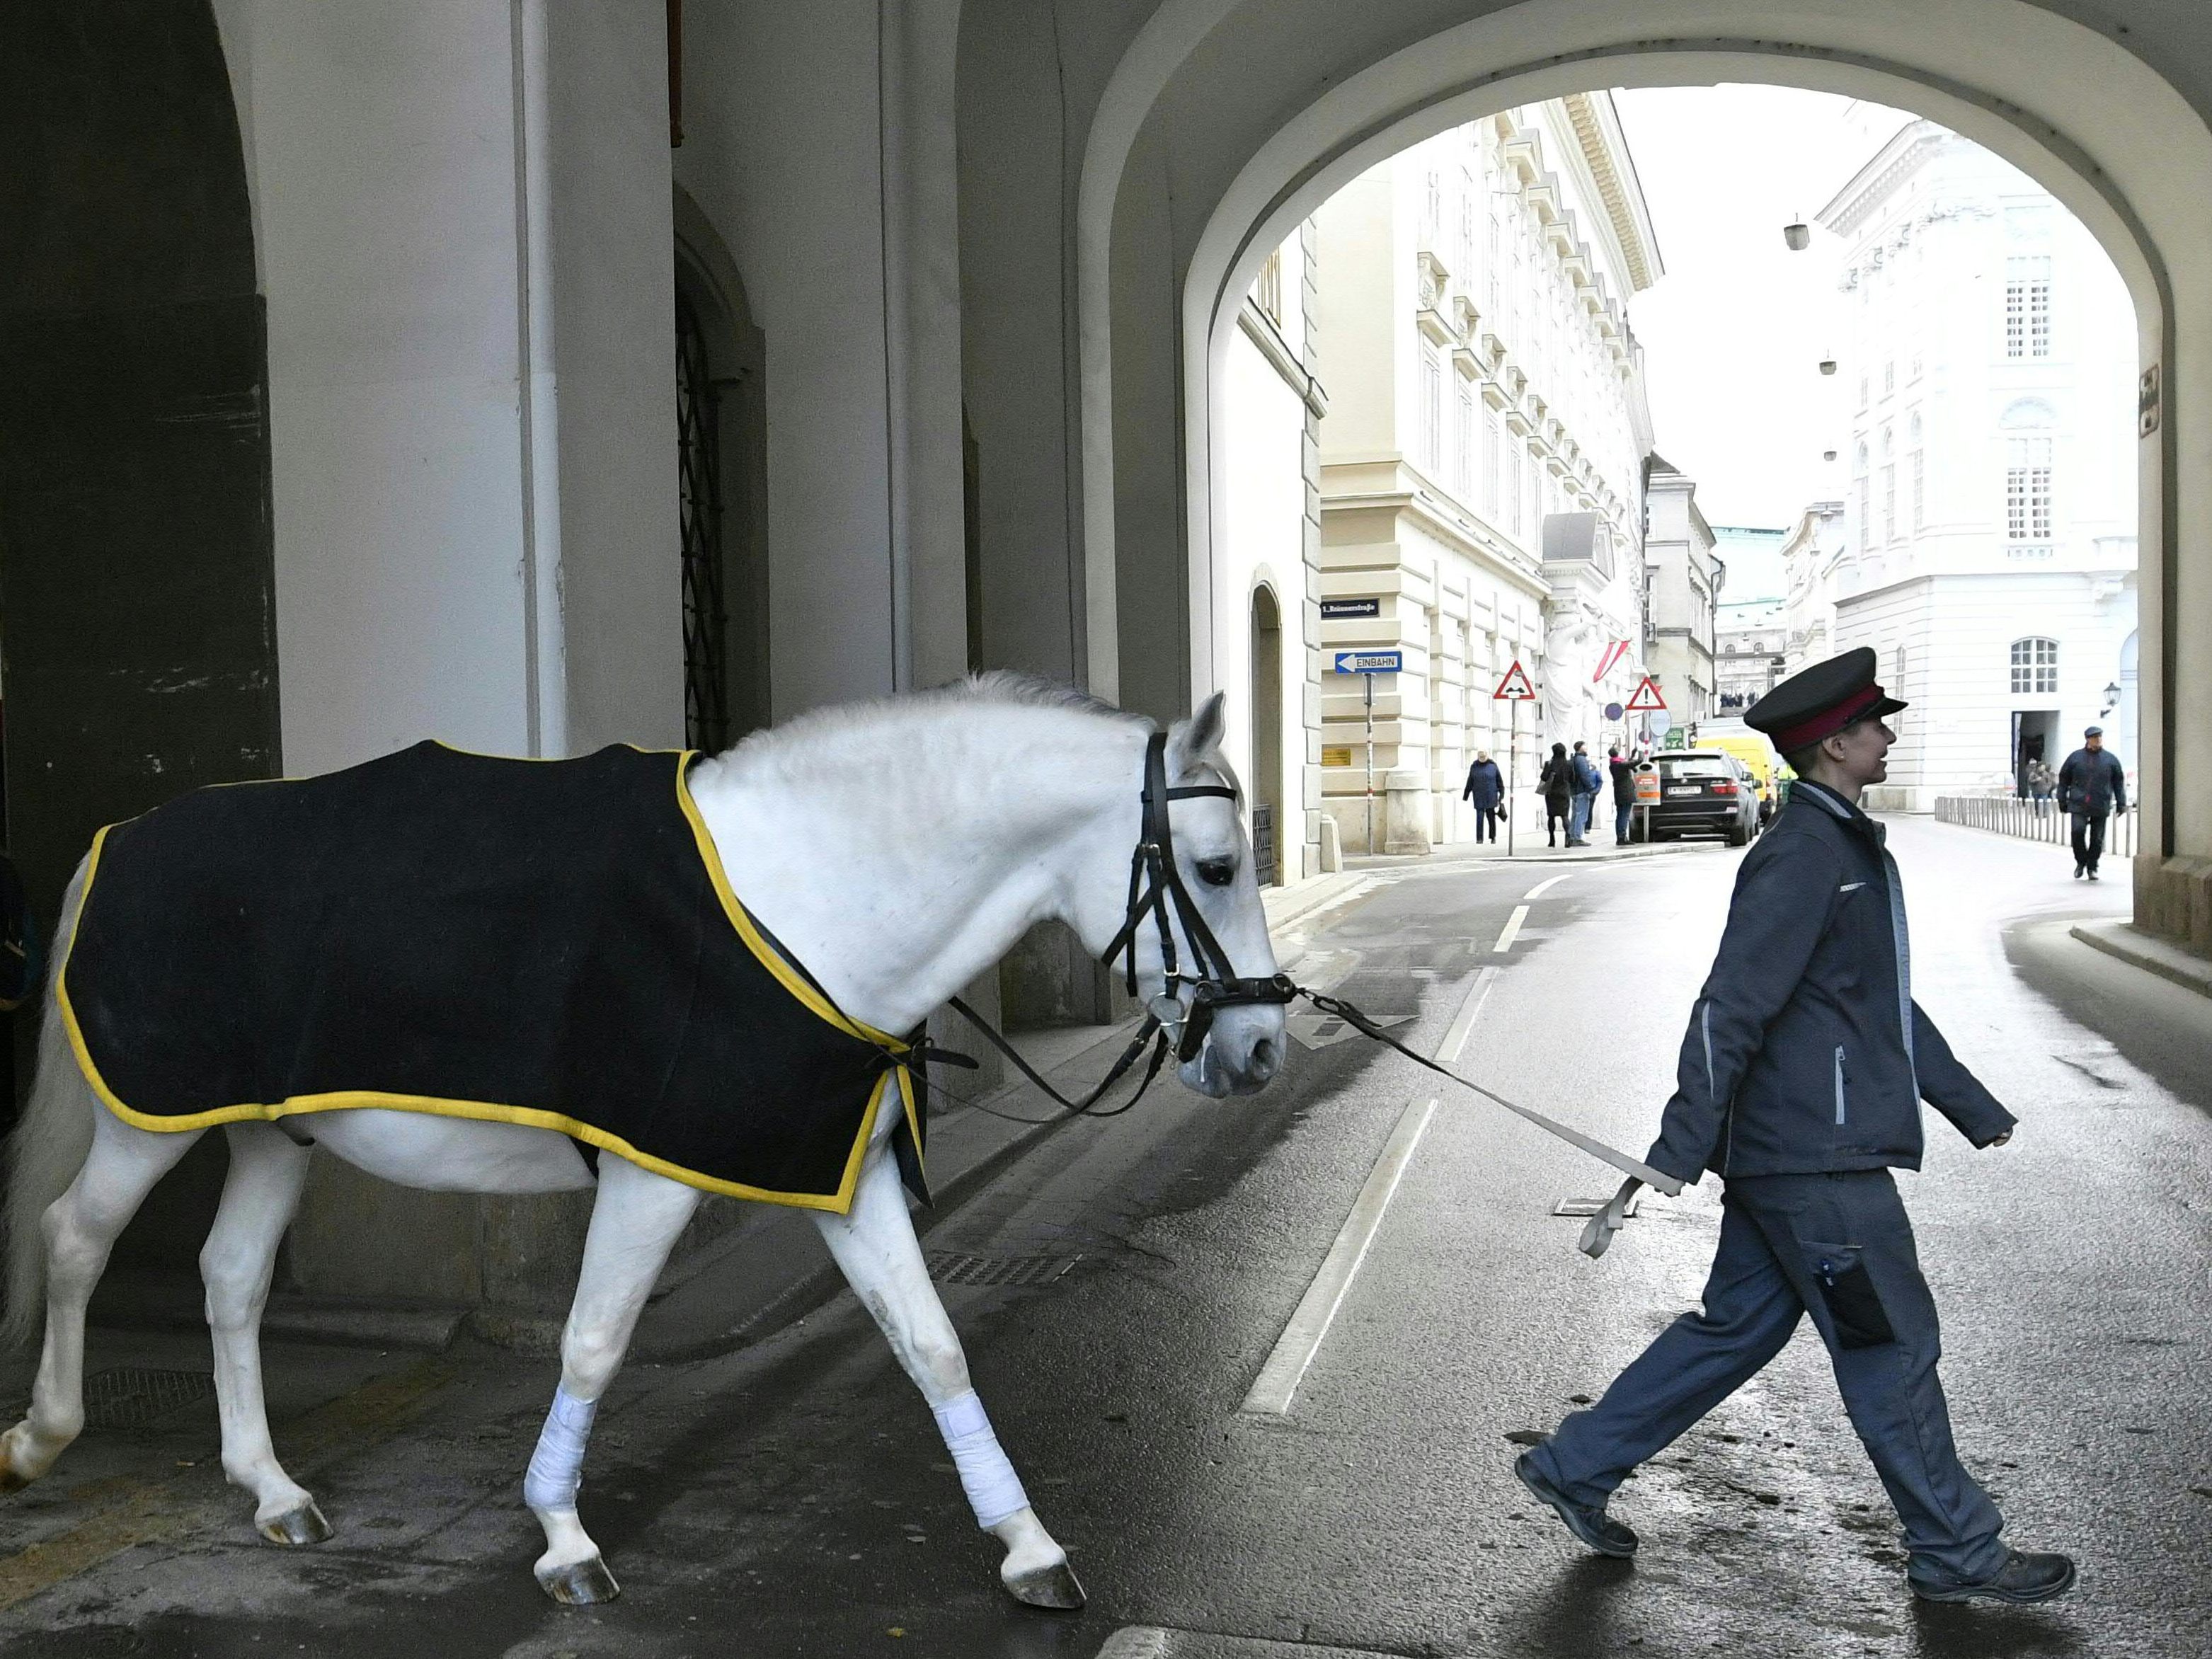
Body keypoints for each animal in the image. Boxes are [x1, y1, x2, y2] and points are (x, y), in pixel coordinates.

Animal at [0, 677, 1292, 1610]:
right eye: (1218, 865)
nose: (1265, 1047)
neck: (814, 893)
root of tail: (119, 836)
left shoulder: (844, 1175)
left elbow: (934, 1348)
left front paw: (1027, 1544)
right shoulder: (656, 1176)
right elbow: (594, 1341)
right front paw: (563, 1537)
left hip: (275, 1133)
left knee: (228, 1279)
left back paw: (271, 1488)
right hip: (145, 1125)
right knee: (73, 1240)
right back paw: (42, 1435)